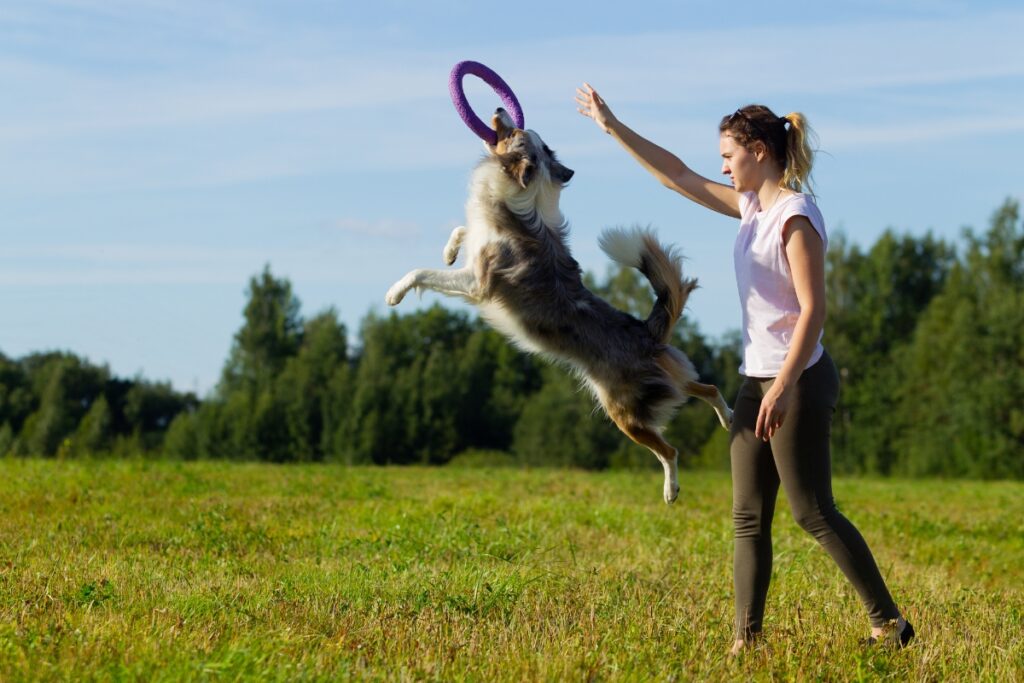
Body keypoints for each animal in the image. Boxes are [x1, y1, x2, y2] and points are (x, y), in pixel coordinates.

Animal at [385, 108, 729, 501]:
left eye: (512, 133)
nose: (500, 111)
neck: (526, 197)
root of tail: (647, 332)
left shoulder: (477, 282)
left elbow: (422, 273)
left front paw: (395, 292)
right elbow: (462, 231)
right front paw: (449, 250)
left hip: (625, 411)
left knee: (669, 450)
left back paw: (671, 491)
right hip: (669, 379)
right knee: (706, 388)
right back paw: (728, 418)